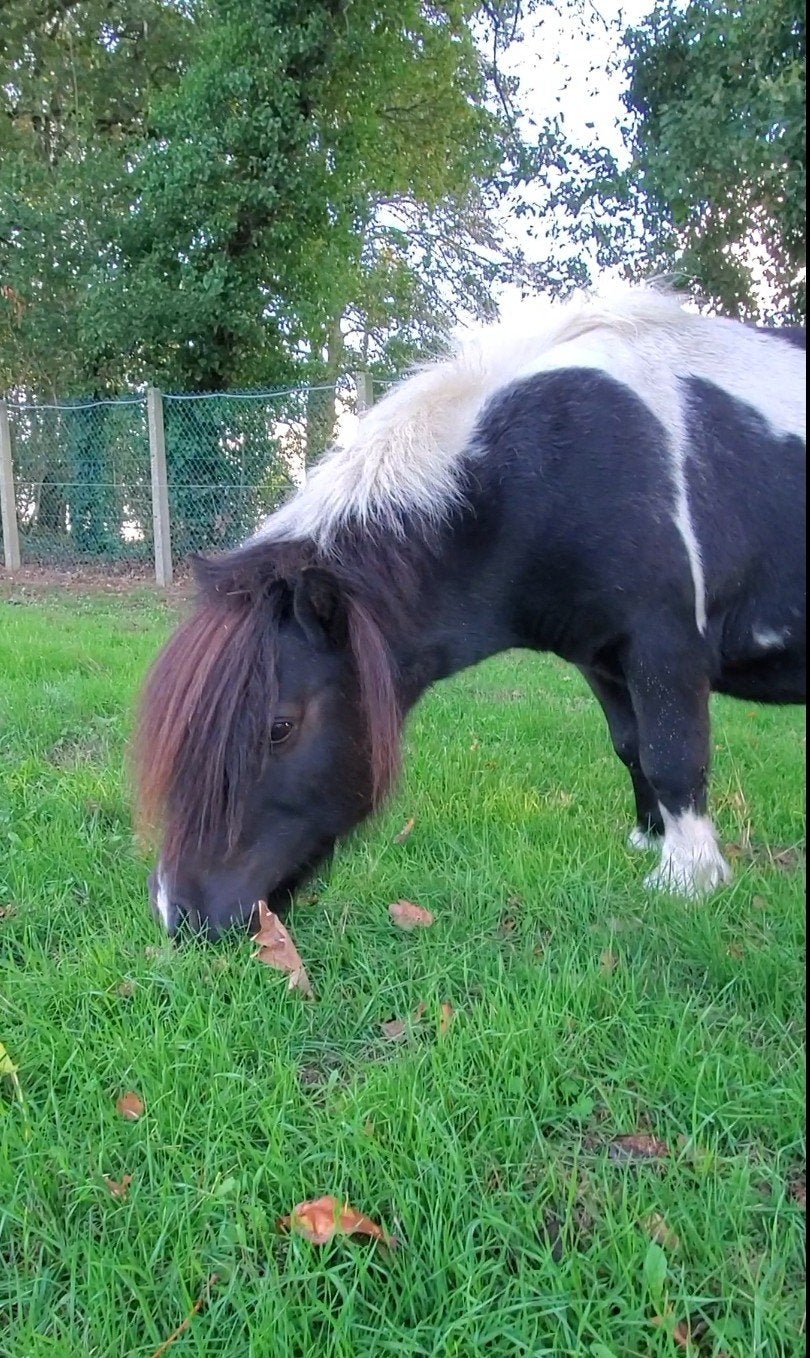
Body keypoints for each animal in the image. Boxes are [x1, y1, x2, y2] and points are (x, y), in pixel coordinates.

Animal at [134, 287, 806, 939]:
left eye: (280, 726)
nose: (179, 913)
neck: (562, 461)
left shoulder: (665, 648)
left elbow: (673, 757)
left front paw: (687, 880)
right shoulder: (604, 660)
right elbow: (633, 746)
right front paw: (650, 841)